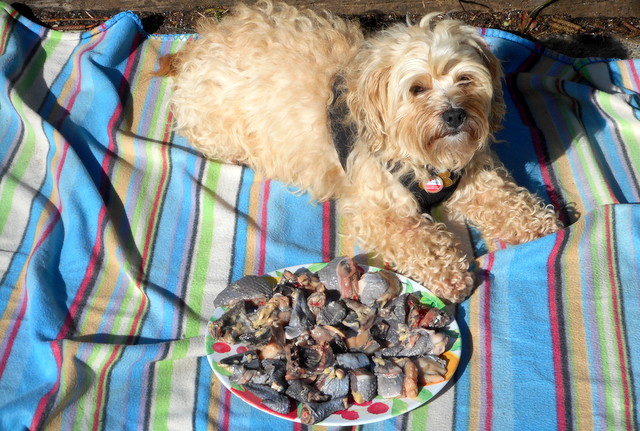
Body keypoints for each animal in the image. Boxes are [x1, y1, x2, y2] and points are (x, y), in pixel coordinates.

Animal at [162, 0, 564, 304]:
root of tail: (200, 41)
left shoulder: (476, 177)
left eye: (465, 78)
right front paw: (450, 274)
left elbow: (508, 201)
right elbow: (417, 238)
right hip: (219, 133)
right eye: (417, 89)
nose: (454, 115)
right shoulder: (378, 210)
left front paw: (541, 225)